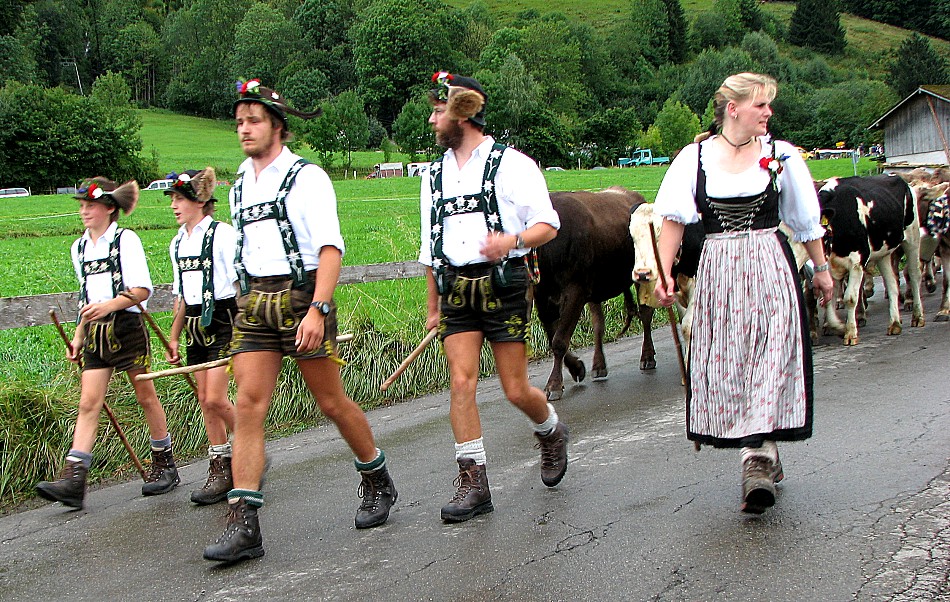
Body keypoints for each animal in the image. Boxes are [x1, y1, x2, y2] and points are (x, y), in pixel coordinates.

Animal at [536, 186, 656, 404]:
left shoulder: (575, 292)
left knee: (645, 314)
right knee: (599, 324)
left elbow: (559, 340)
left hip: (641, 275)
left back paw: (647, 357)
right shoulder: (541, 297)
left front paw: (554, 385)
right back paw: (599, 365)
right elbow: (552, 337)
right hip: (595, 289)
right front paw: (577, 368)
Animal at [820, 172, 924, 342]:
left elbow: (850, 298)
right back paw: (894, 323)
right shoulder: (830, 265)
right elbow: (828, 299)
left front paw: (850, 332)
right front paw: (837, 326)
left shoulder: (857, 261)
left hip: (912, 237)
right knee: (892, 283)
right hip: (884, 253)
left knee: (915, 275)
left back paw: (917, 316)